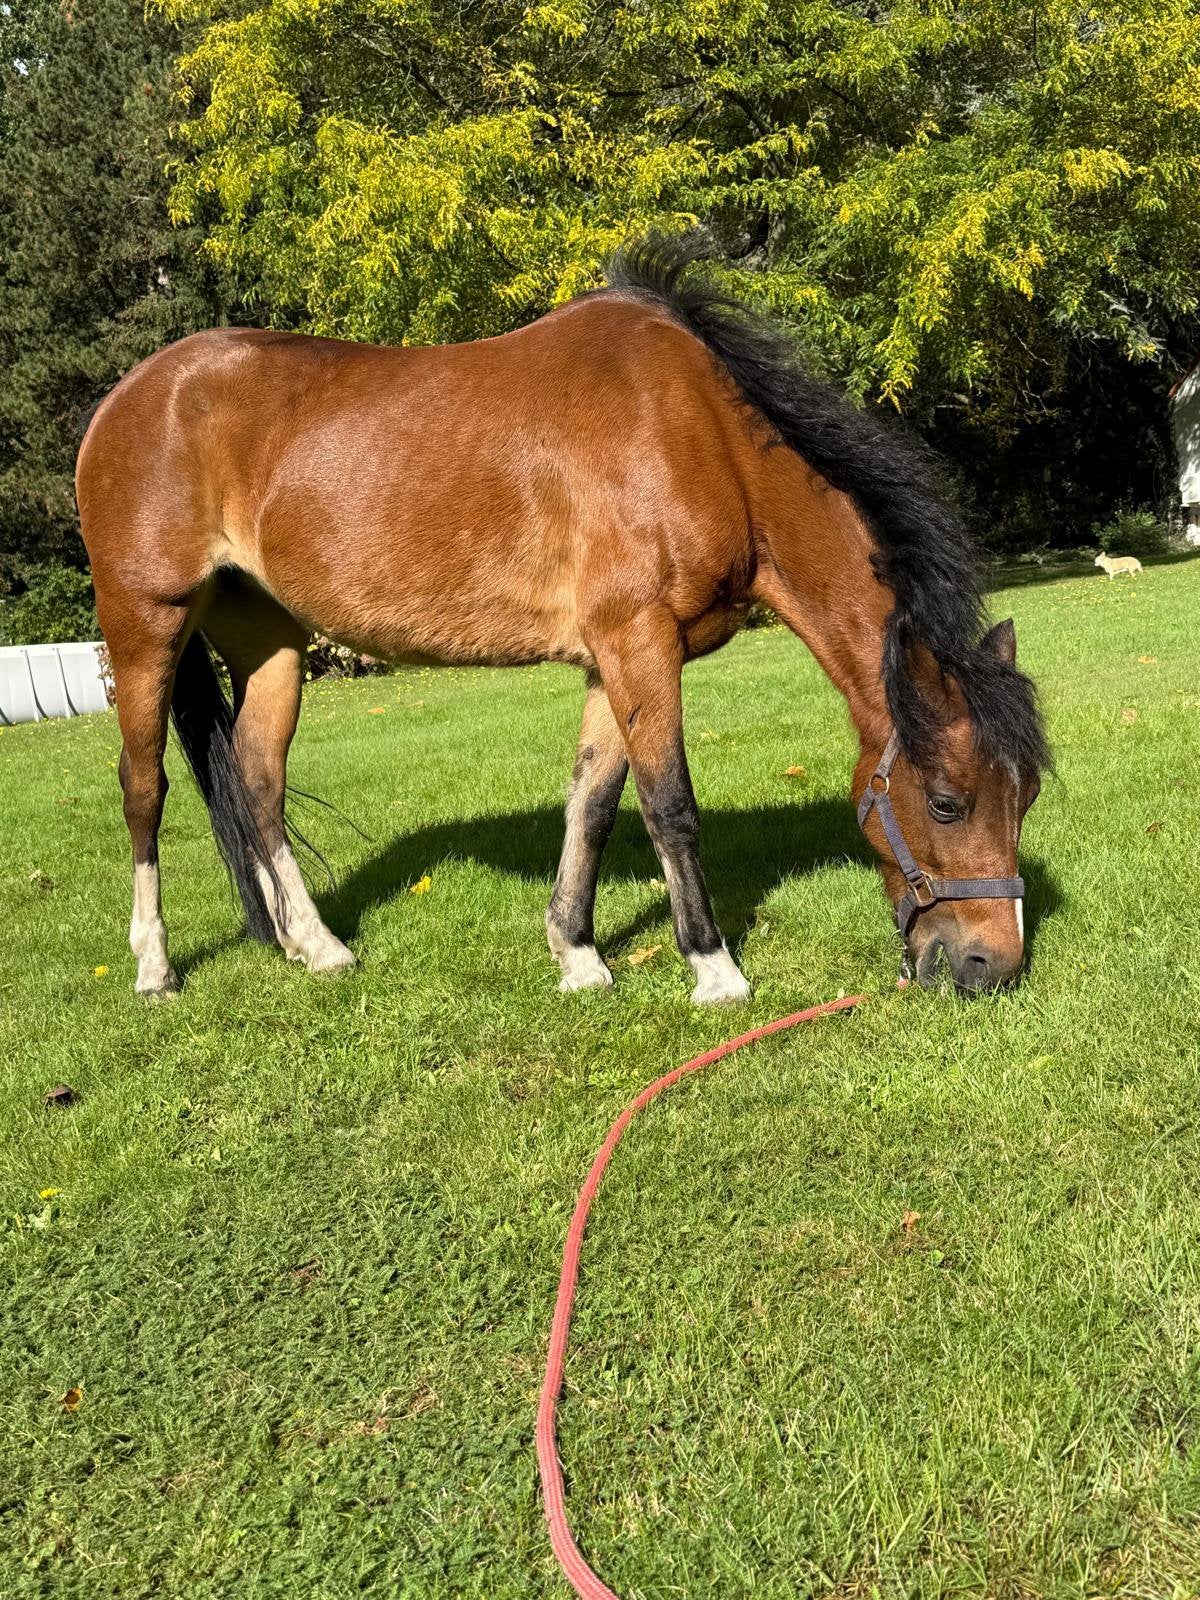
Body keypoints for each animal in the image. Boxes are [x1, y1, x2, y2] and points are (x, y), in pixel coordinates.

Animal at [76, 233, 1047, 1004]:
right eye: (948, 802)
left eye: (1026, 795)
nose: (991, 966)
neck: (700, 437)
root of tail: (128, 399)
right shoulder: (638, 642)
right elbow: (669, 805)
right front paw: (714, 970)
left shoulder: (616, 657)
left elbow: (594, 805)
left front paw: (577, 955)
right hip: (145, 624)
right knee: (143, 789)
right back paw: (155, 967)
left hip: (269, 640)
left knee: (257, 782)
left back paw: (314, 946)